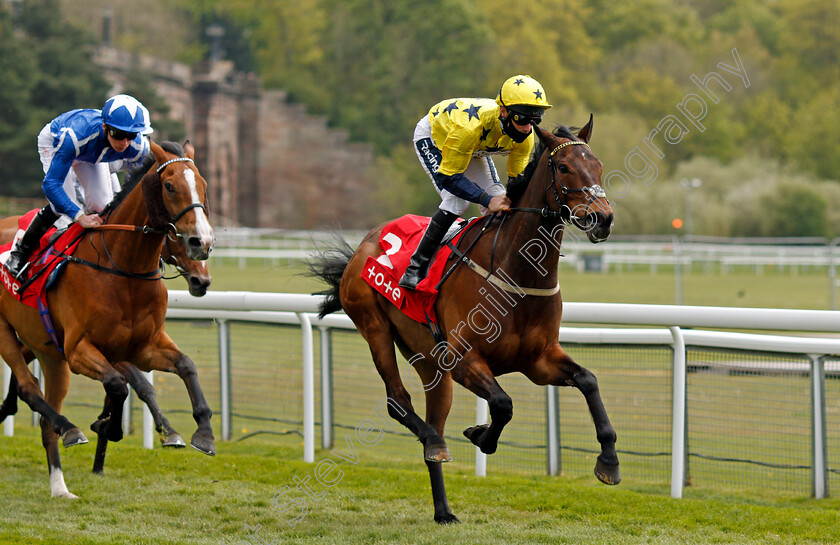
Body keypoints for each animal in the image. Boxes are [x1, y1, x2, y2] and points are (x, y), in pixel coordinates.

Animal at [0, 140, 218, 498]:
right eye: (170, 186)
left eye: (203, 186)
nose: (203, 243)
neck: (123, 269)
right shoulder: (79, 350)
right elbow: (119, 385)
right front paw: (107, 426)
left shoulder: (142, 347)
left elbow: (184, 366)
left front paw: (203, 432)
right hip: (11, 336)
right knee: (29, 389)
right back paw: (69, 428)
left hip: (49, 354)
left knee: (42, 415)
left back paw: (60, 486)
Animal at [308, 120, 616, 524]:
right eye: (563, 167)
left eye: (597, 165)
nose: (603, 218)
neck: (515, 272)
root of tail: (364, 245)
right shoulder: (465, 359)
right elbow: (502, 404)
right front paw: (480, 435)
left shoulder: (539, 361)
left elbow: (589, 381)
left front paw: (609, 462)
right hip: (374, 327)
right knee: (398, 402)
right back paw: (434, 442)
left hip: (432, 366)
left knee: (430, 419)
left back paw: (443, 509)